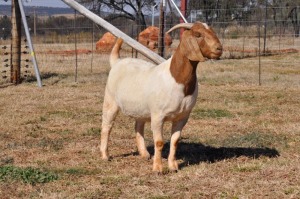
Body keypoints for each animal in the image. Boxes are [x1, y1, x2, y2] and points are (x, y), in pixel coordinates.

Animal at [101, 22, 223, 173]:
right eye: (198, 34)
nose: (219, 48)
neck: (177, 79)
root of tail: (117, 62)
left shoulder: (182, 117)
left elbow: (175, 141)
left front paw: (173, 166)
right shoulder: (158, 116)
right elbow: (159, 142)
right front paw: (158, 168)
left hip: (141, 108)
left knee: (138, 126)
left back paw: (144, 154)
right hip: (110, 101)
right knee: (107, 126)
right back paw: (105, 155)